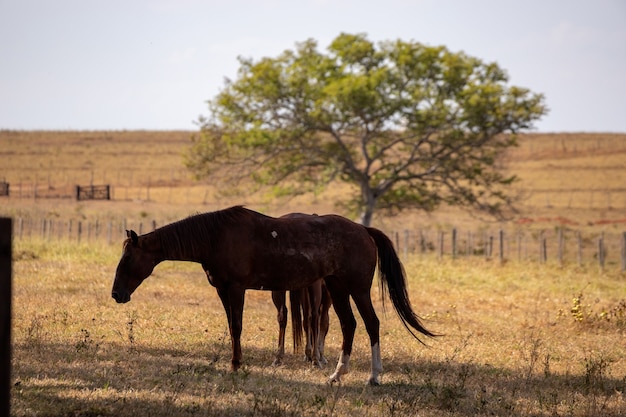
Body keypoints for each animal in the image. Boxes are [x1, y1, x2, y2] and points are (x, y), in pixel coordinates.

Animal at [112, 205, 434, 384]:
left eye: (127, 259)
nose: (116, 294)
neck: (215, 237)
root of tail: (364, 230)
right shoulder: (222, 290)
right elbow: (232, 327)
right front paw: (236, 363)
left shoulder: (236, 288)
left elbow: (237, 326)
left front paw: (236, 365)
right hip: (336, 287)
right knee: (348, 325)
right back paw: (337, 374)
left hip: (356, 287)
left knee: (371, 324)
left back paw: (374, 376)